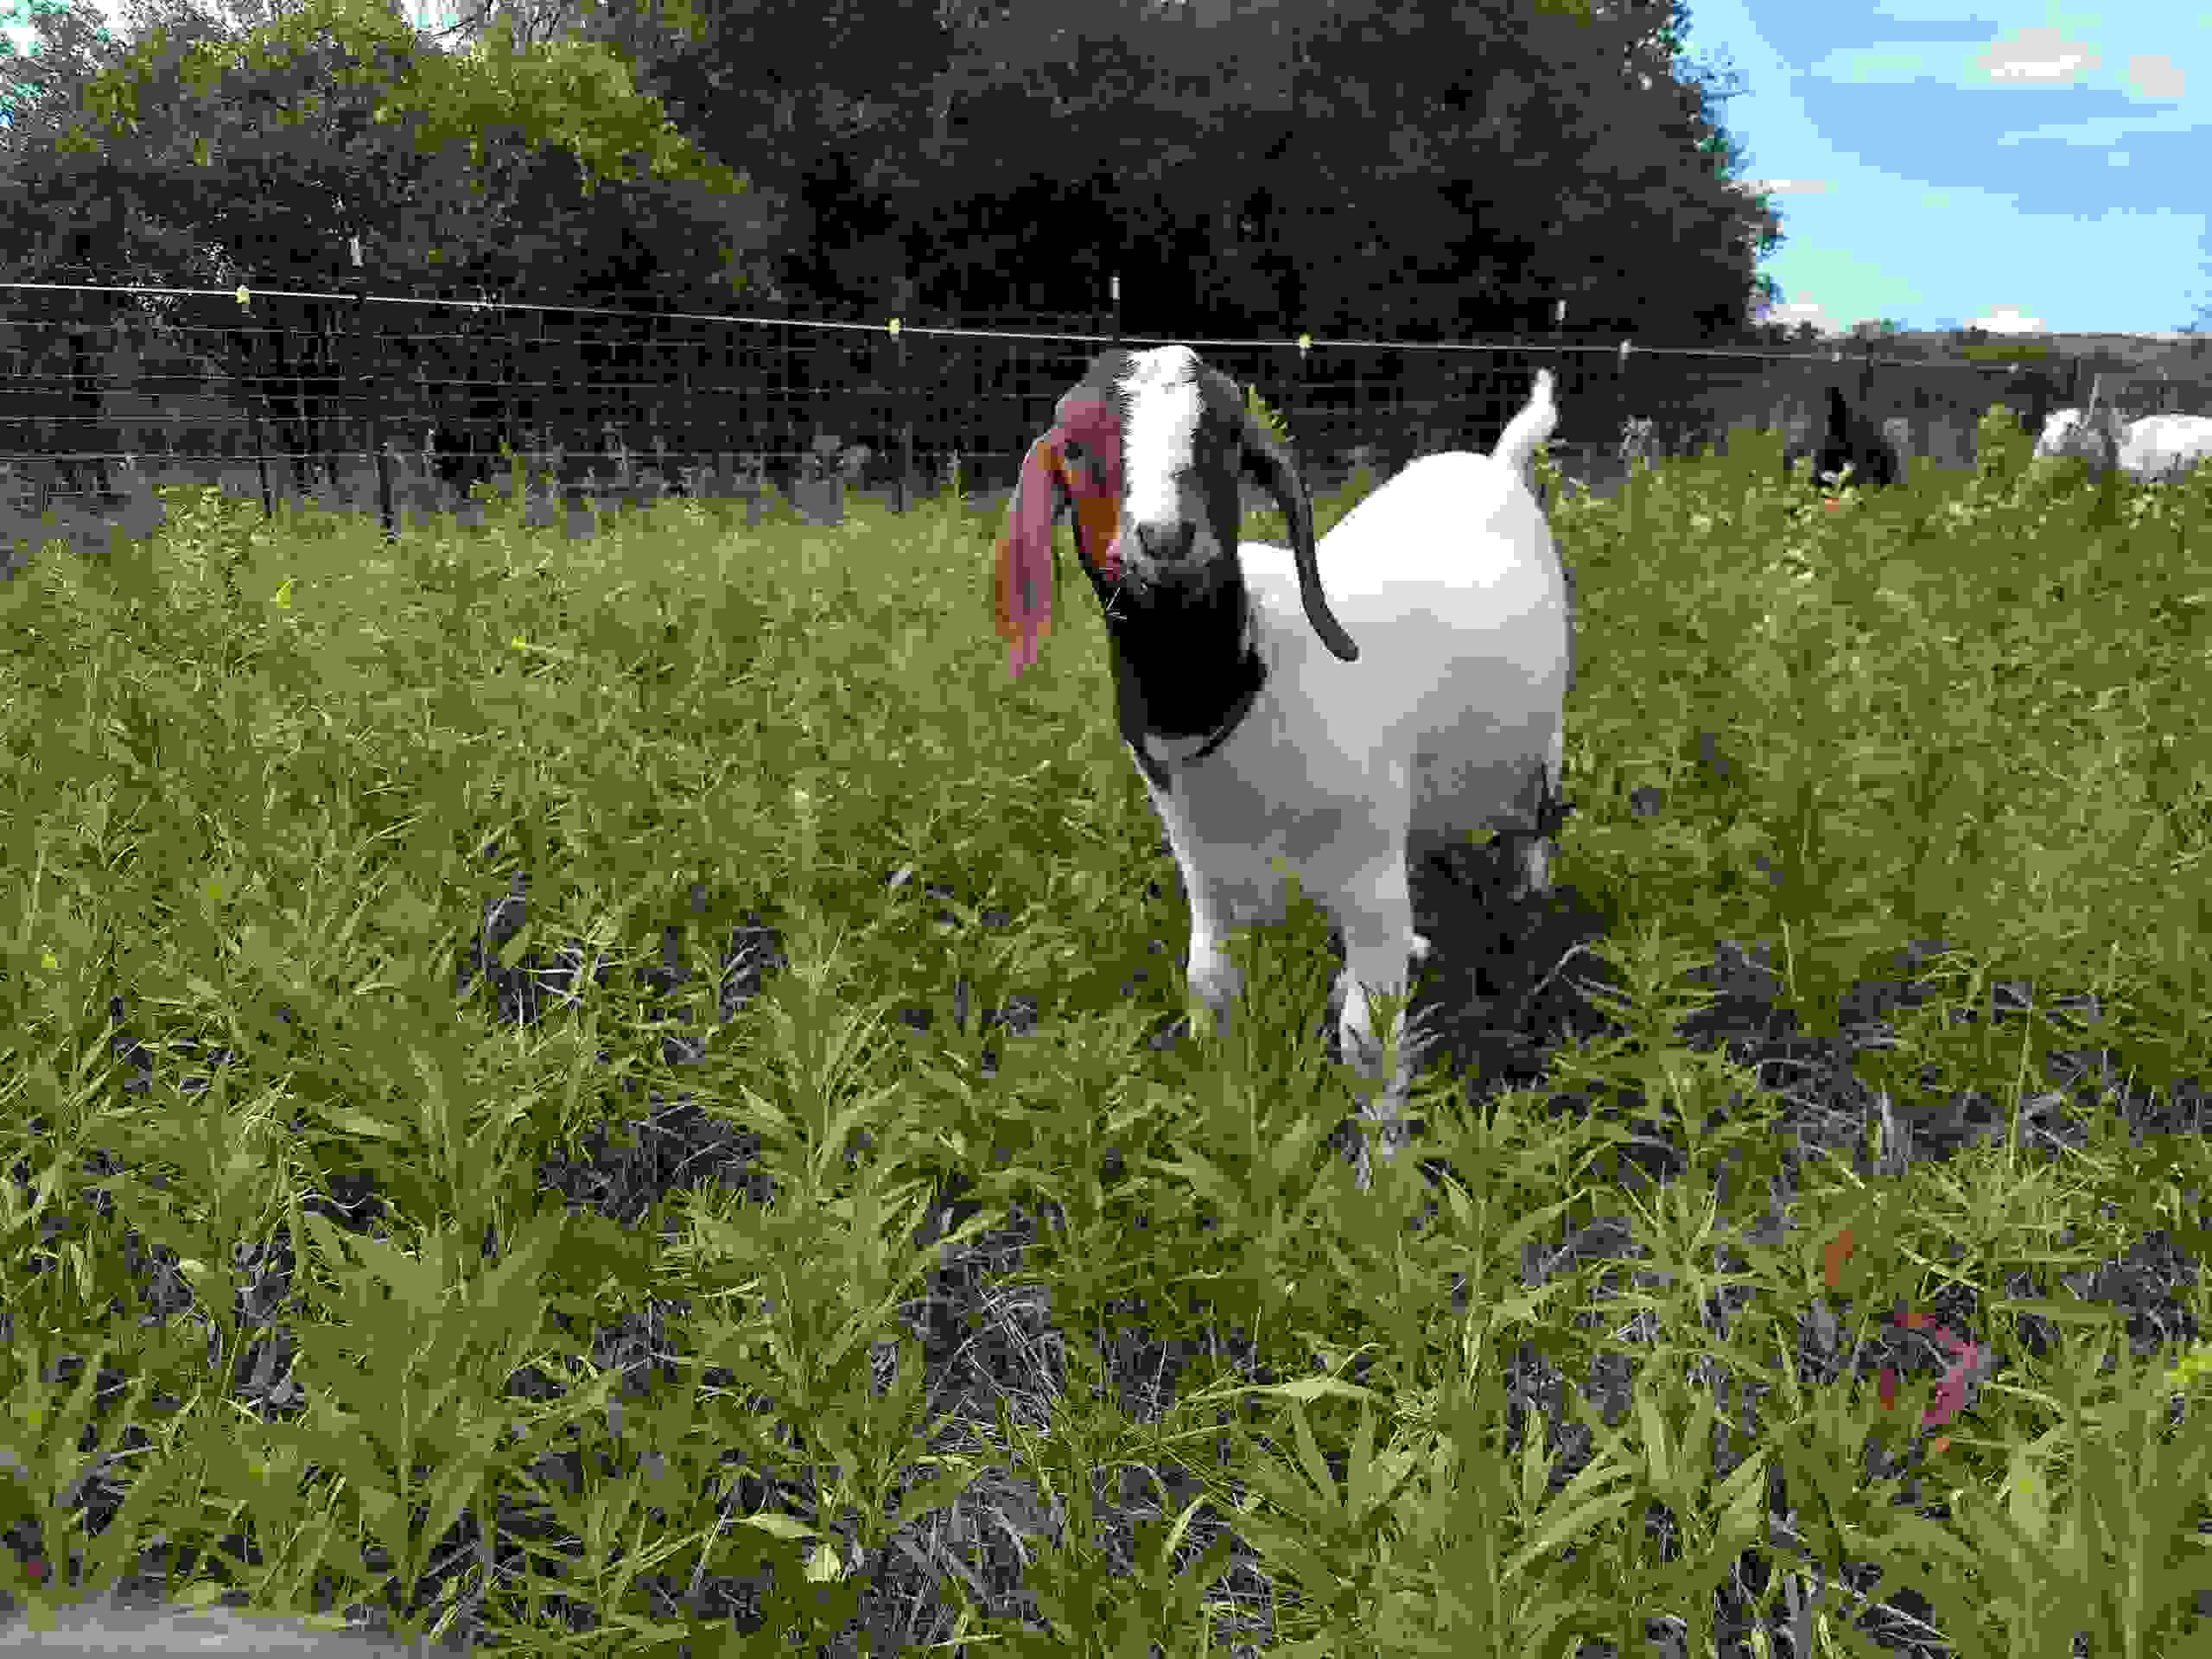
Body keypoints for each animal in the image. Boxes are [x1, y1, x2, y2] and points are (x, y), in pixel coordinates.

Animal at [986, 346, 1574, 1185]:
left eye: (1228, 434)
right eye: (1072, 446)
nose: (1165, 539)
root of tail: (1496, 463)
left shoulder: (1364, 874)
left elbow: (1367, 1041)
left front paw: (1379, 1179)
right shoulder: (1207, 874)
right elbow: (1211, 992)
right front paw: (1229, 1125)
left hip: (1542, 742)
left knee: (1533, 831)